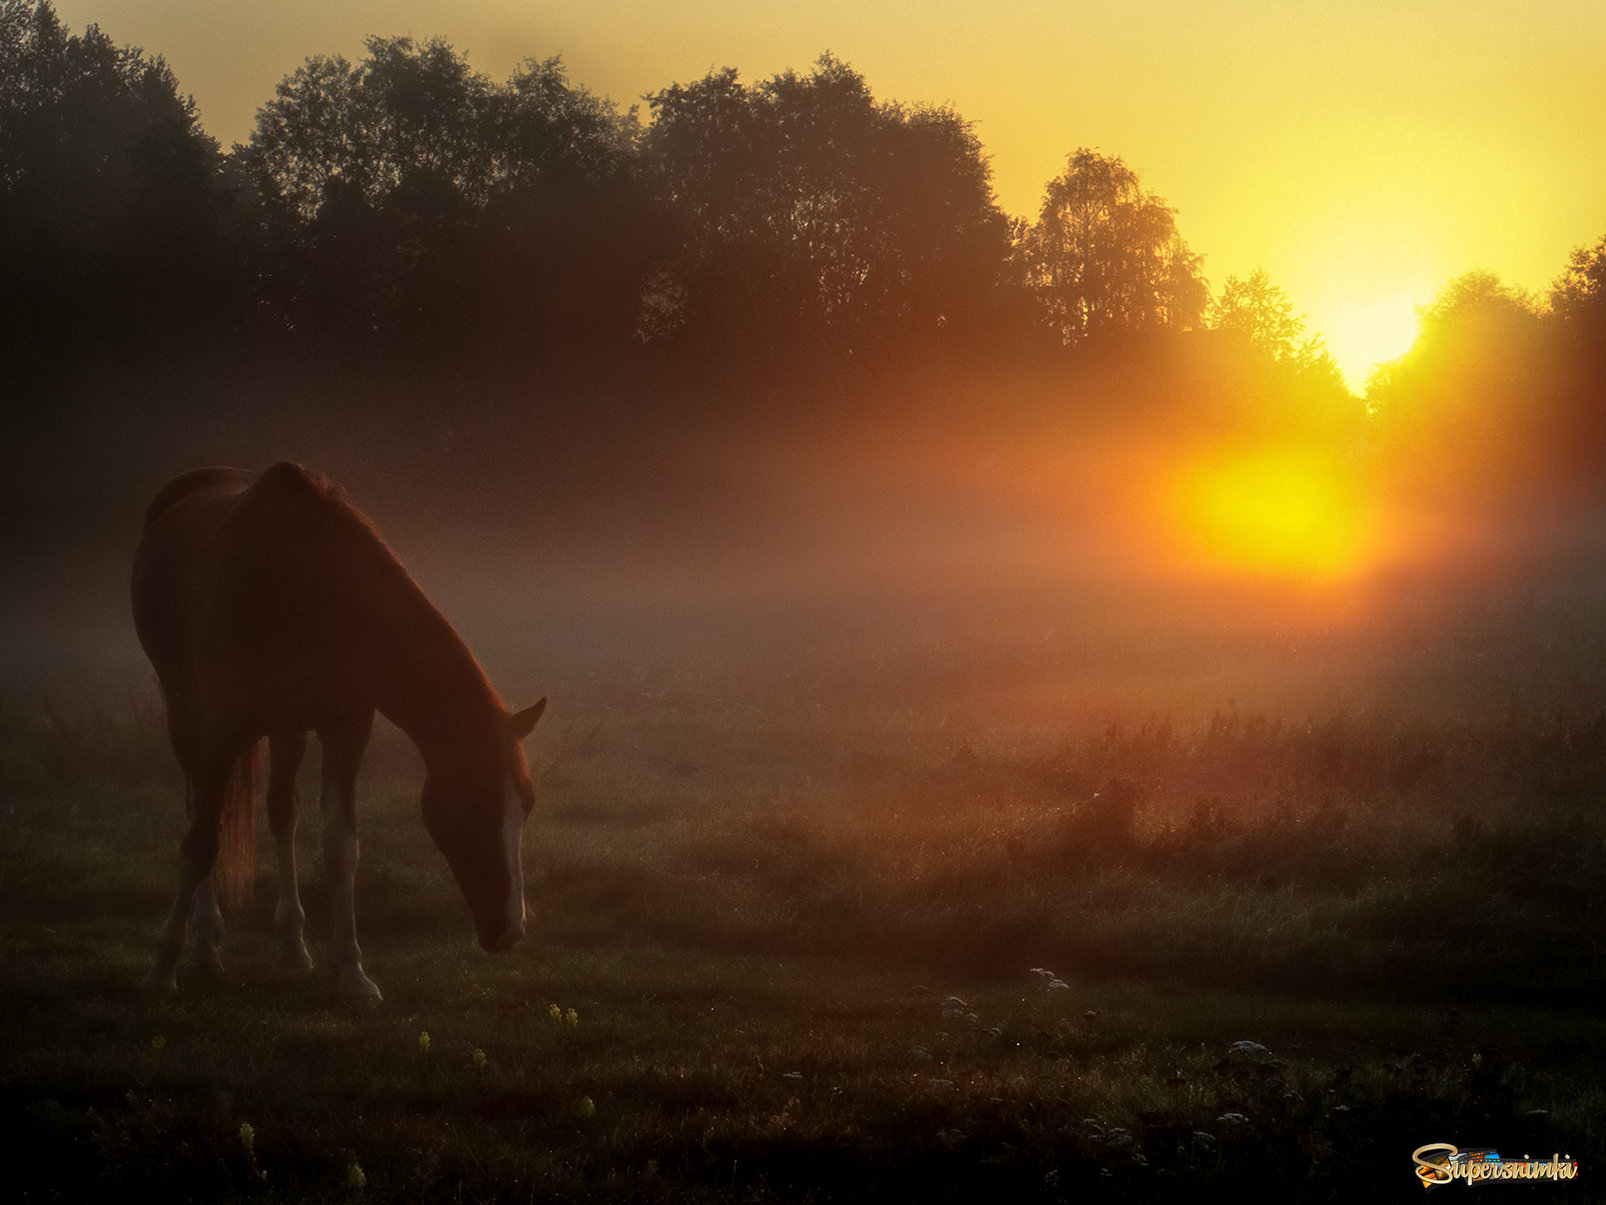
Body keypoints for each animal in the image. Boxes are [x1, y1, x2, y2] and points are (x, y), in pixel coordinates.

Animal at [131, 462, 546, 1002]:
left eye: (526, 806)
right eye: (474, 805)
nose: (510, 931)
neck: (306, 587)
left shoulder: (346, 729)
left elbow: (340, 847)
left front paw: (351, 971)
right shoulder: (220, 730)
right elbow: (201, 841)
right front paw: (164, 967)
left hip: (287, 729)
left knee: (280, 812)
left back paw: (292, 946)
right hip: (186, 716)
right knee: (202, 811)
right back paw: (204, 946)